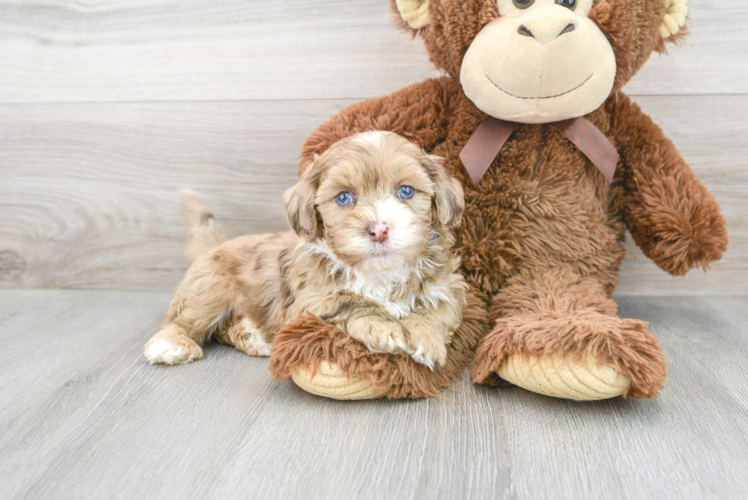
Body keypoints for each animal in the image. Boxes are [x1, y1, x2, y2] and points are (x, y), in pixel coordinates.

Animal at [143, 131, 464, 370]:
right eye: (344, 198)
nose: (379, 229)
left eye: (406, 191)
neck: (378, 273)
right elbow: (352, 303)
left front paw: (425, 337)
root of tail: (216, 245)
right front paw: (383, 327)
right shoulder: (311, 301)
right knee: (184, 319)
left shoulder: (449, 285)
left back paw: (251, 335)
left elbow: (440, 308)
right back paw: (171, 343)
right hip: (210, 286)